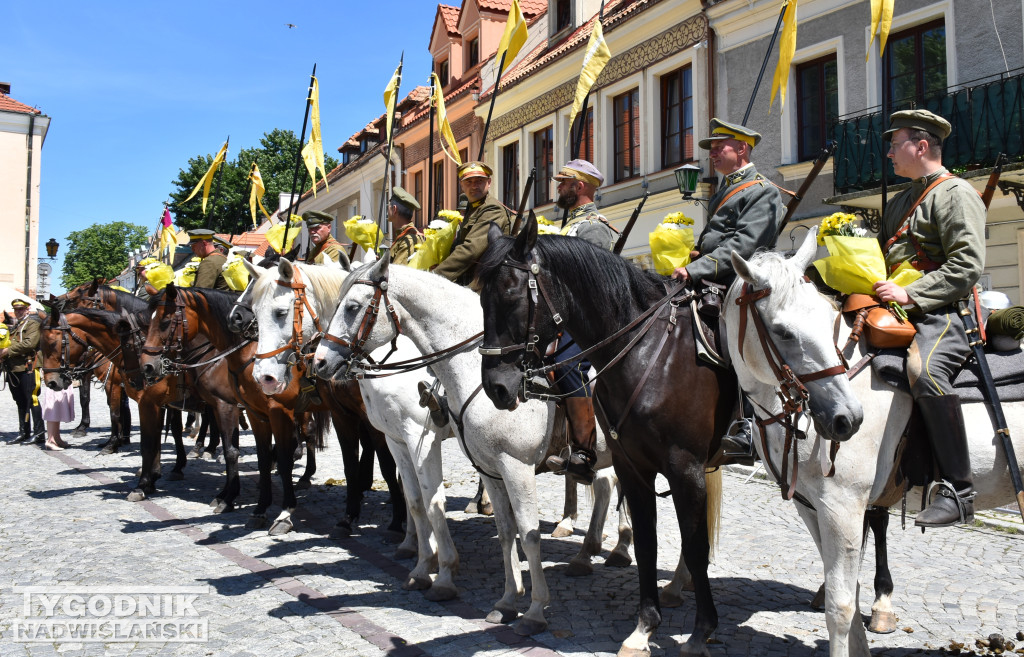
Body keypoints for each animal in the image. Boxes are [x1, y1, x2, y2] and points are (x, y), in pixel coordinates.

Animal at [234, 257, 403, 536]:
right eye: (257, 312)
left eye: (281, 312)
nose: (264, 377)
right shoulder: (341, 415)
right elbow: (349, 464)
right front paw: (349, 516)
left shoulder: (375, 419)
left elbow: (388, 464)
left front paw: (398, 521)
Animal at [311, 256, 626, 634]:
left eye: (353, 307)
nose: (318, 362)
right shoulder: (478, 464)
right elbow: (499, 529)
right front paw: (506, 601)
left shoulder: (504, 463)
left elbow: (525, 532)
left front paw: (533, 609)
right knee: (612, 487)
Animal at [475, 221, 860, 654]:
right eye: (481, 298)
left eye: (511, 295)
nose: (496, 388)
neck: (644, 354)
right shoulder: (632, 467)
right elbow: (647, 541)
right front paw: (644, 627)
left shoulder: (684, 467)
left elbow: (695, 545)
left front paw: (701, 629)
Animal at [720, 229, 1024, 650]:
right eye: (782, 332)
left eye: (830, 321)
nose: (848, 418)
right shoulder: (813, 508)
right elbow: (849, 593)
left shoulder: (844, 508)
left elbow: (841, 606)